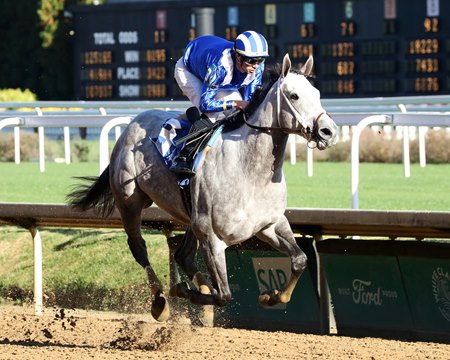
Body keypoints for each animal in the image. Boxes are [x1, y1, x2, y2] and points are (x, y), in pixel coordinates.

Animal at [67, 54, 338, 324]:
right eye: (294, 96)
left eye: (317, 93)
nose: (329, 131)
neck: (250, 172)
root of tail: (131, 124)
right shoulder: (212, 236)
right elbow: (223, 295)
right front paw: (184, 290)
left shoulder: (270, 225)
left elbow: (300, 259)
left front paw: (271, 297)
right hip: (130, 201)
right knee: (139, 247)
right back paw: (160, 301)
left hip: (191, 215)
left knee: (183, 255)